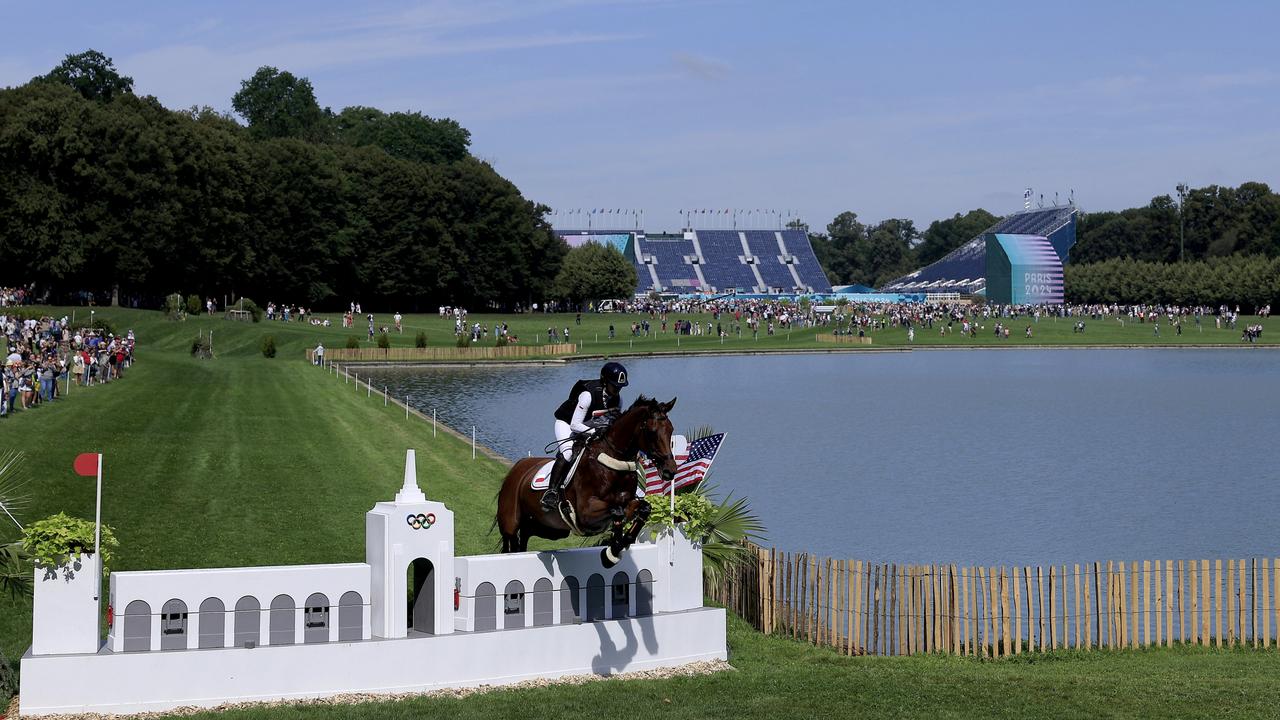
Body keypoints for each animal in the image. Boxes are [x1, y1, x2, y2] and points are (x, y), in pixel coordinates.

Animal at [494, 392, 680, 566]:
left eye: (671, 429)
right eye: (652, 432)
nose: (670, 470)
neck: (613, 462)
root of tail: (518, 467)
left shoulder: (628, 501)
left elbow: (644, 508)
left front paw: (618, 547)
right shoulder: (586, 512)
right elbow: (617, 511)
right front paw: (612, 552)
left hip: (550, 529)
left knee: (525, 535)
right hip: (510, 523)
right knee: (511, 543)